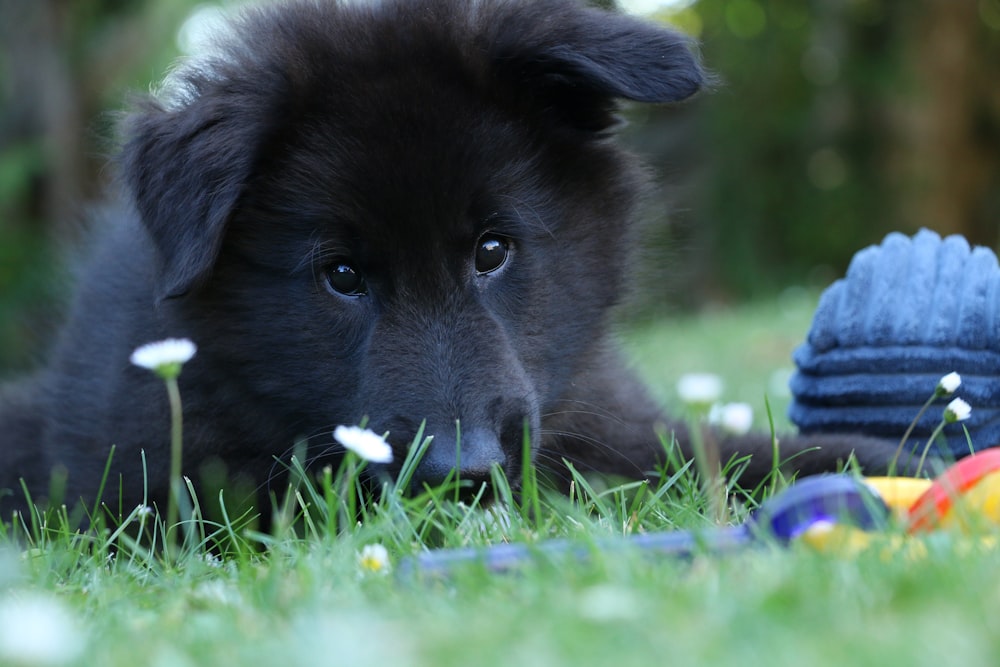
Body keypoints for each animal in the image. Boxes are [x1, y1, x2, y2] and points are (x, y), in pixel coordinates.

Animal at [0, 0, 900, 516]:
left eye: (493, 249)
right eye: (341, 275)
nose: (461, 472)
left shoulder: (616, 418)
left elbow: (738, 452)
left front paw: (902, 462)